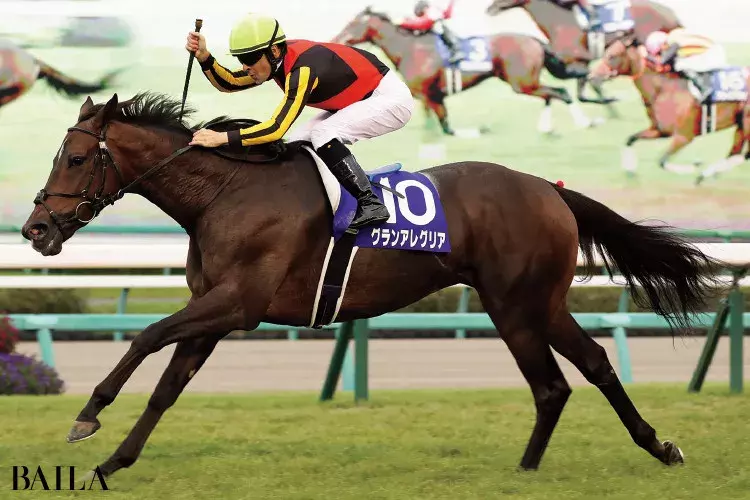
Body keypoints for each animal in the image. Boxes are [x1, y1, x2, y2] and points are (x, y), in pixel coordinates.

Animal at [21, 91, 722, 479]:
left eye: (76, 158)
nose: (35, 228)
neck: (225, 192)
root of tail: (550, 189)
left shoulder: (237, 304)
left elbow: (145, 337)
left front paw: (87, 416)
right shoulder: (215, 310)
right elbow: (168, 387)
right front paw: (114, 461)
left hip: (516, 305)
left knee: (554, 384)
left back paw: (538, 466)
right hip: (538, 304)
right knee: (592, 367)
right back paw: (655, 448)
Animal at [330, 7, 599, 136]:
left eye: (354, 23)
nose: (337, 38)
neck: (410, 49)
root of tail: (535, 40)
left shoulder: (430, 95)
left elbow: (447, 129)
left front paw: (480, 131)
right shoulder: (430, 98)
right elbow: (437, 125)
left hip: (522, 83)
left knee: (561, 93)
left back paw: (584, 122)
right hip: (524, 83)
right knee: (551, 95)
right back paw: (550, 128)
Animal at [486, 0, 682, 113]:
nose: (490, 8)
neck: (558, 21)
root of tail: (671, 14)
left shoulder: (579, 61)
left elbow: (589, 86)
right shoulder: (579, 62)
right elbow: (583, 93)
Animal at [588, 38, 750, 184]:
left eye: (612, 56)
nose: (591, 76)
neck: (662, 89)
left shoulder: (683, 137)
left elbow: (662, 161)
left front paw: (693, 166)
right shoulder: (659, 131)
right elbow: (630, 139)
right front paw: (630, 171)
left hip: (747, 123)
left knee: (745, 155)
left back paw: (705, 174)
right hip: (741, 125)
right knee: (735, 153)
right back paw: (708, 175)